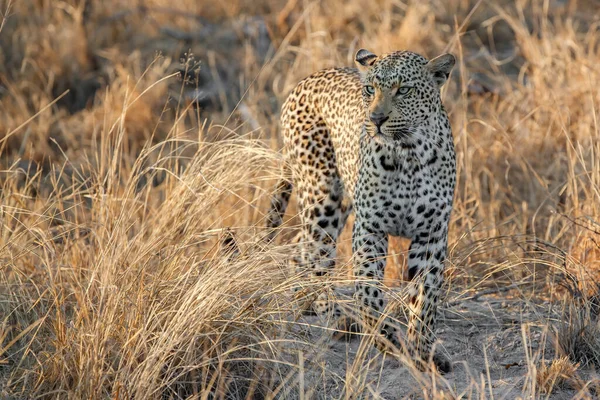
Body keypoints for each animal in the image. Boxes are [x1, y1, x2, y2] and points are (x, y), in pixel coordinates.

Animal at [264, 49, 458, 372]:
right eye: (370, 89)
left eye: (403, 90)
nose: (376, 118)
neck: (409, 152)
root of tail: (303, 82)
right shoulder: (370, 227)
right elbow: (368, 290)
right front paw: (385, 337)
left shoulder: (431, 234)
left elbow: (426, 296)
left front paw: (423, 349)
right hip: (321, 196)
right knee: (316, 255)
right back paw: (334, 313)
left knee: (299, 247)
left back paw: (304, 298)